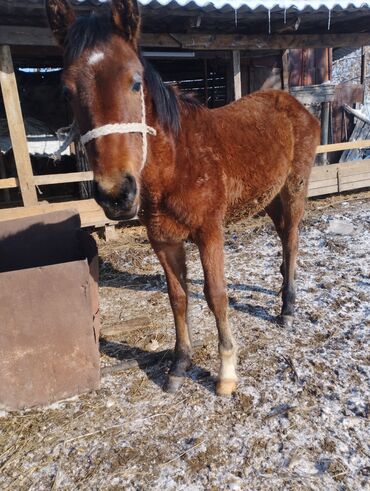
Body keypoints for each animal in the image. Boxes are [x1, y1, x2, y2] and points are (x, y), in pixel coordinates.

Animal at [47, 0, 320, 396]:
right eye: (67, 91)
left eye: (135, 82)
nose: (117, 194)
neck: (178, 162)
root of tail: (296, 104)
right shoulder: (163, 240)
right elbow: (177, 298)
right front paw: (179, 364)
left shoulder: (210, 233)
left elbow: (215, 294)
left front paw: (226, 373)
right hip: (270, 197)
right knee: (285, 237)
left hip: (294, 188)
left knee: (293, 240)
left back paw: (287, 308)